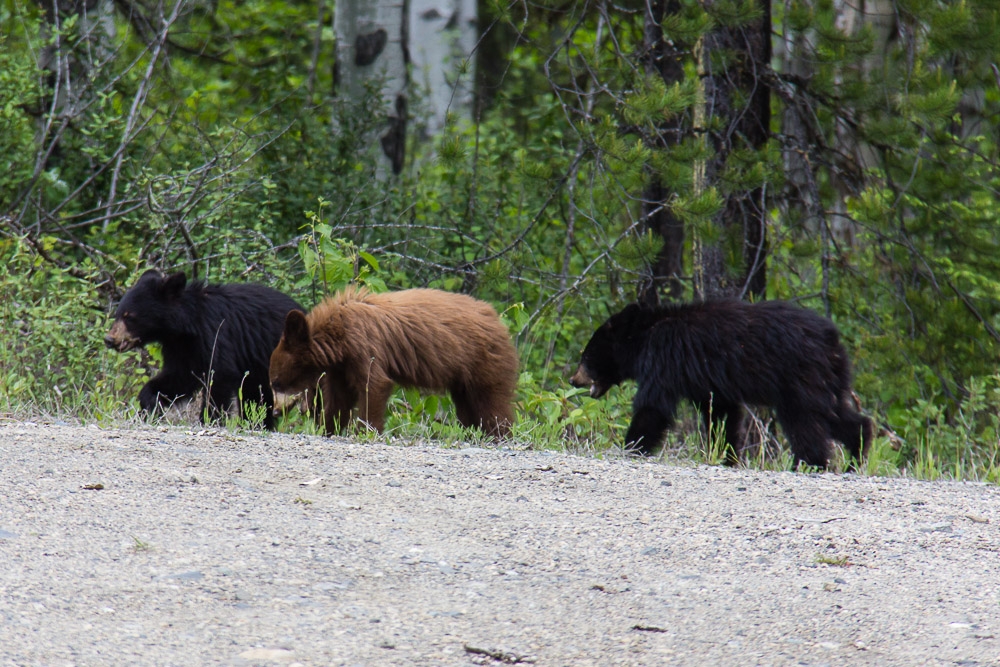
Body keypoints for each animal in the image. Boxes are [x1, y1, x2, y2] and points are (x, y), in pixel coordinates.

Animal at [105, 269, 303, 430]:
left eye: (129, 316)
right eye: (118, 314)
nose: (109, 339)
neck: (187, 326)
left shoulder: (215, 336)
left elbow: (219, 376)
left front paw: (208, 419)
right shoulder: (181, 348)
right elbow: (178, 378)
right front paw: (150, 404)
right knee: (256, 396)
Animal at [268, 286, 519, 438]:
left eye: (276, 382)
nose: (276, 411)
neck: (338, 333)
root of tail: (498, 319)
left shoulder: (363, 346)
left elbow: (374, 384)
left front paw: (365, 431)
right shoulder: (340, 366)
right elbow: (339, 398)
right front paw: (329, 429)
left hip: (484, 361)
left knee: (492, 403)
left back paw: (499, 435)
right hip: (463, 378)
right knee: (467, 406)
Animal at [569, 299, 874, 469]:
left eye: (586, 355)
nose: (573, 379)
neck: (646, 336)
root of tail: (832, 337)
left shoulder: (664, 359)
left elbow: (653, 407)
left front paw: (633, 446)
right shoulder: (705, 382)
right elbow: (720, 414)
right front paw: (727, 456)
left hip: (799, 377)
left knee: (805, 421)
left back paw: (808, 463)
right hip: (826, 378)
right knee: (837, 416)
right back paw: (856, 454)